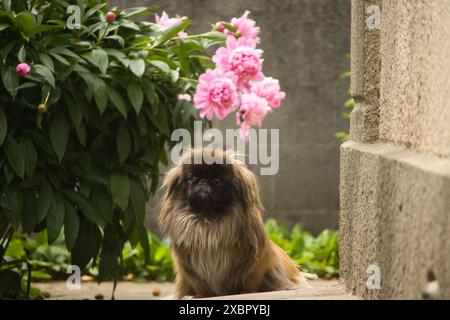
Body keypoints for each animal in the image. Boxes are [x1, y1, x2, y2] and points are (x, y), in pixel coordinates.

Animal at [159, 149, 306, 298]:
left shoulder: (255, 263)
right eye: (190, 178)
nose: (203, 181)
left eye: (217, 180)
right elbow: (199, 284)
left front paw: (247, 292)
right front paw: (200, 295)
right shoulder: (188, 267)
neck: (209, 219)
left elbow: (251, 280)